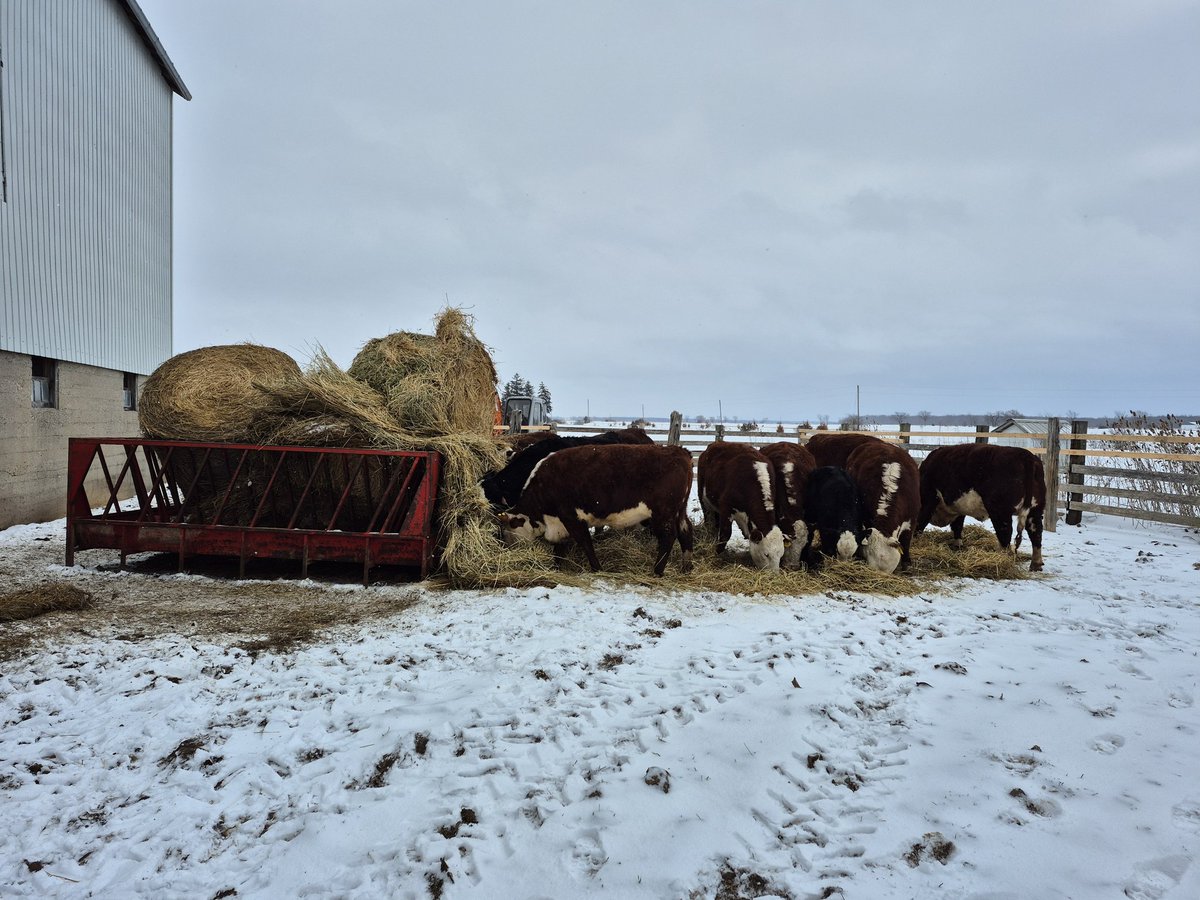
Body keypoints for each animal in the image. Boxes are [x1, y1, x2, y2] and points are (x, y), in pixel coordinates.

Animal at [496, 443, 693, 576]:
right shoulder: (560, 523)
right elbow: (560, 548)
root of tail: (679, 451)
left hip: (663, 513)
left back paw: (657, 570)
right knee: (685, 531)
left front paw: (596, 568)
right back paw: (686, 567)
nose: (506, 549)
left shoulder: (571, 517)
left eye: (506, 533)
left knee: (669, 537)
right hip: (679, 511)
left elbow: (585, 543)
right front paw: (557, 567)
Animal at [697, 442, 785, 571]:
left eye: (781, 554)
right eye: (766, 554)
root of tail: (715, 444)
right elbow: (725, 534)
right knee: (708, 519)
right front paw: (717, 554)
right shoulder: (726, 508)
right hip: (703, 499)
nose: (774, 573)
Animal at [917, 443, 1046, 572]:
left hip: (1000, 511)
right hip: (1035, 510)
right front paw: (958, 545)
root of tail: (1026, 456)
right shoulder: (959, 508)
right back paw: (1036, 564)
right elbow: (957, 526)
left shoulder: (929, 499)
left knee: (1005, 534)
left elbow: (920, 522)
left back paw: (1001, 559)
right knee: (1036, 533)